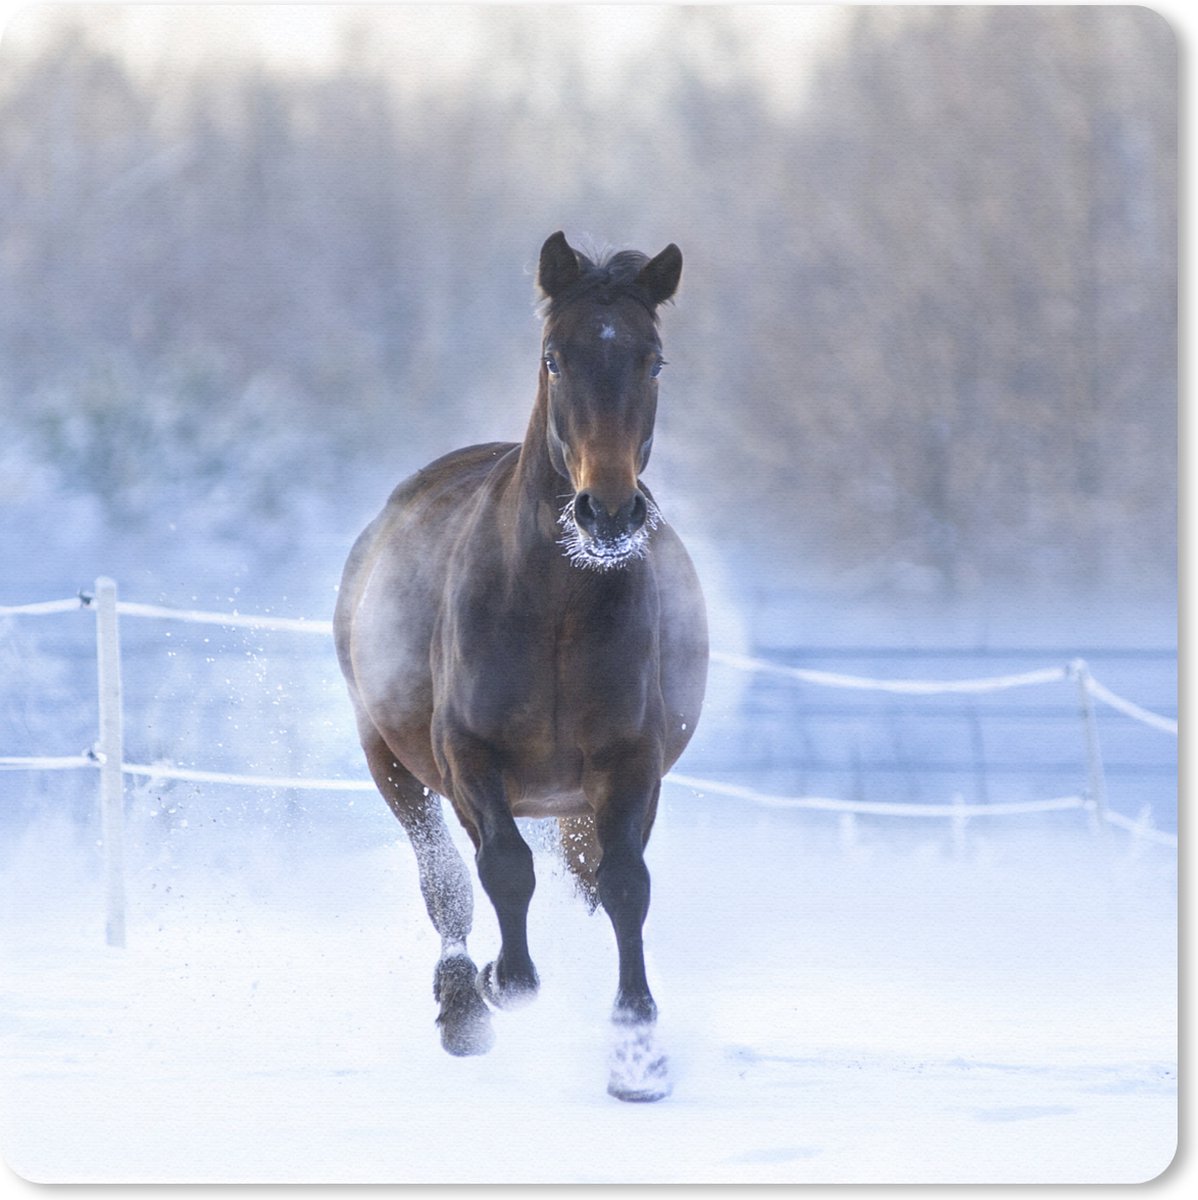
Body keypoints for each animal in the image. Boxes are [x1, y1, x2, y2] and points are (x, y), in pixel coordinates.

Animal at [334, 231, 708, 1102]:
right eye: (554, 358)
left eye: (654, 360)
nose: (608, 513)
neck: (556, 610)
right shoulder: (468, 756)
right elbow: (502, 868)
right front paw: (506, 983)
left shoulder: (630, 762)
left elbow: (625, 885)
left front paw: (637, 1053)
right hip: (389, 759)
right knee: (445, 877)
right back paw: (462, 1004)